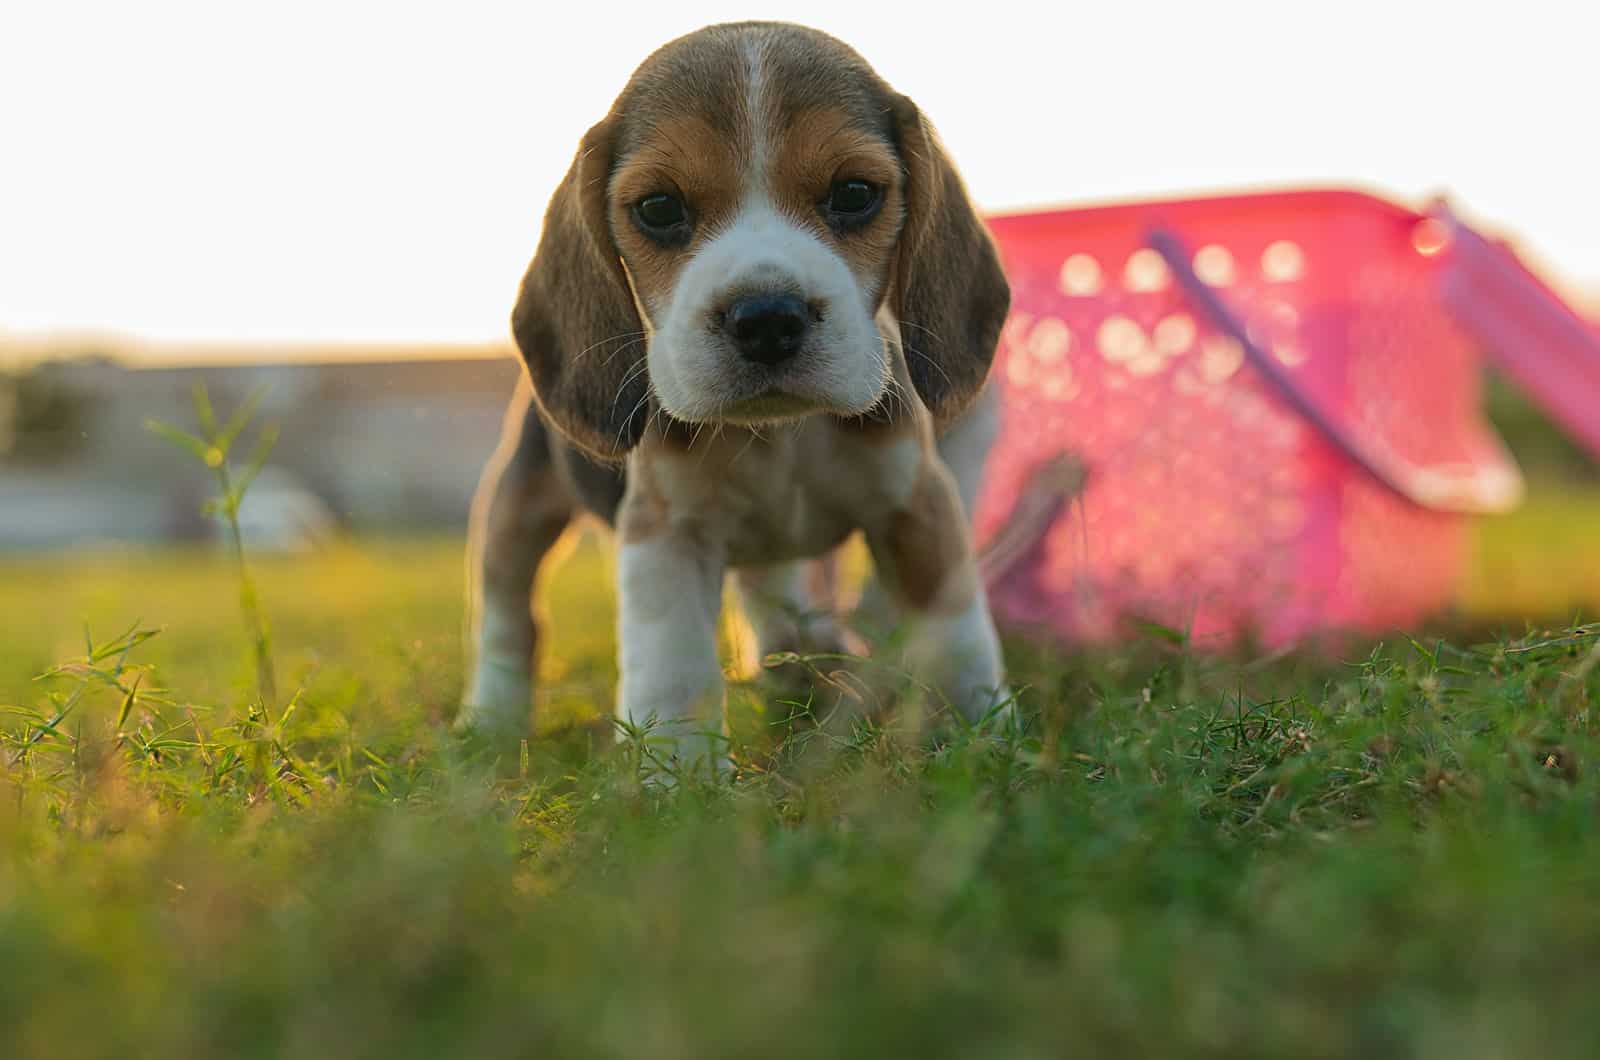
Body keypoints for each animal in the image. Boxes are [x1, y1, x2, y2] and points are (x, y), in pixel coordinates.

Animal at [460, 22, 1011, 771]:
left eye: (855, 193)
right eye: (659, 208)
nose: (767, 318)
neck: (784, 435)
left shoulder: (917, 504)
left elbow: (956, 627)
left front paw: (982, 734)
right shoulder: (664, 533)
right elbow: (675, 667)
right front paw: (678, 777)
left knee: (771, 593)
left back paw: (800, 661)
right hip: (519, 503)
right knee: (509, 614)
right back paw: (490, 716)